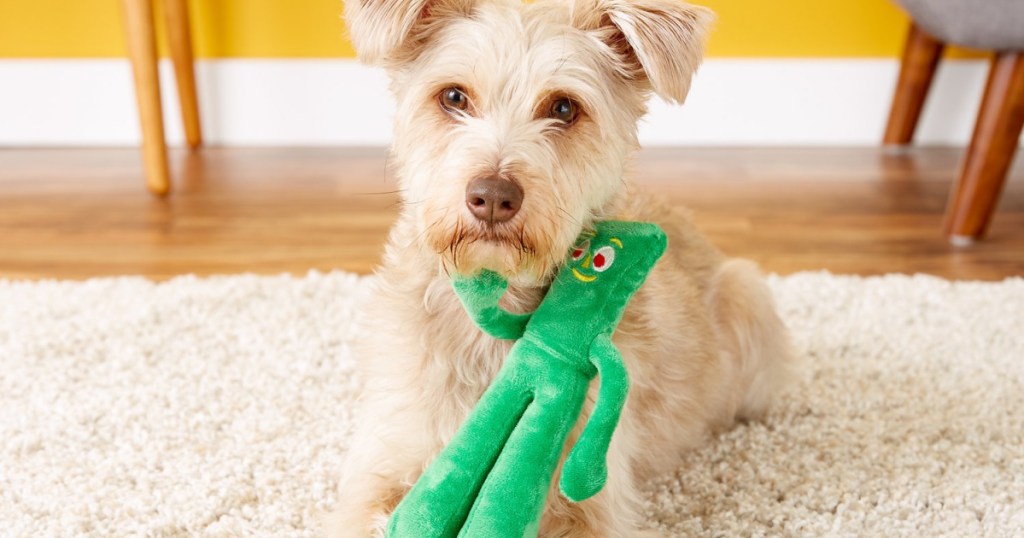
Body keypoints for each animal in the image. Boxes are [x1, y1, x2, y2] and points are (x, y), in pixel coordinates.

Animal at [331, 0, 794, 532]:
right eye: (453, 96)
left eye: (564, 108)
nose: (493, 197)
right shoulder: (385, 461)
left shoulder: (589, 494)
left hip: (748, 294)